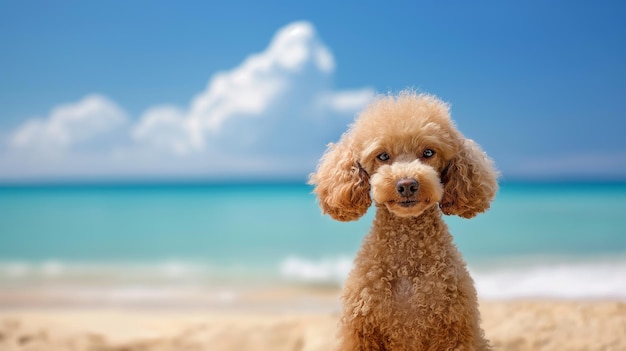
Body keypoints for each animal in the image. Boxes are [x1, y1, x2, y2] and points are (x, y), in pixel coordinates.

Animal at [308, 91, 498, 351]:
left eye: (428, 153)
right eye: (382, 156)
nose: (407, 184)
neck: (407, 255)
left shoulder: (455, 331)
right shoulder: (361, 332)